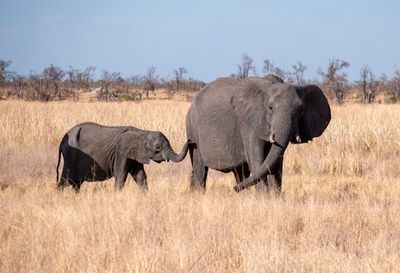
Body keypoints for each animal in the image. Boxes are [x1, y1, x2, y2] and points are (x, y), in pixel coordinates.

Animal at [56, 121, 189, 191]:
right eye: (157, 148)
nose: (190, 140)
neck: (142, 132)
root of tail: (62, 141)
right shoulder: (121, 152)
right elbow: (121, 174)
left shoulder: (135, 154)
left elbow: (140, 175)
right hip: (71, 156)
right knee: (65, 180)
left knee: (75, 183)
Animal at [187, 75, 332, 191]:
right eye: (270, 108)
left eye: (301, 110)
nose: (234, 189)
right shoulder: (248, 121)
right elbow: (256, 157)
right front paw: (263, 197)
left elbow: (276, 161)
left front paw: (275, 197)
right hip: (192, 128)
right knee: (200, 168)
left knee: (239, 171)